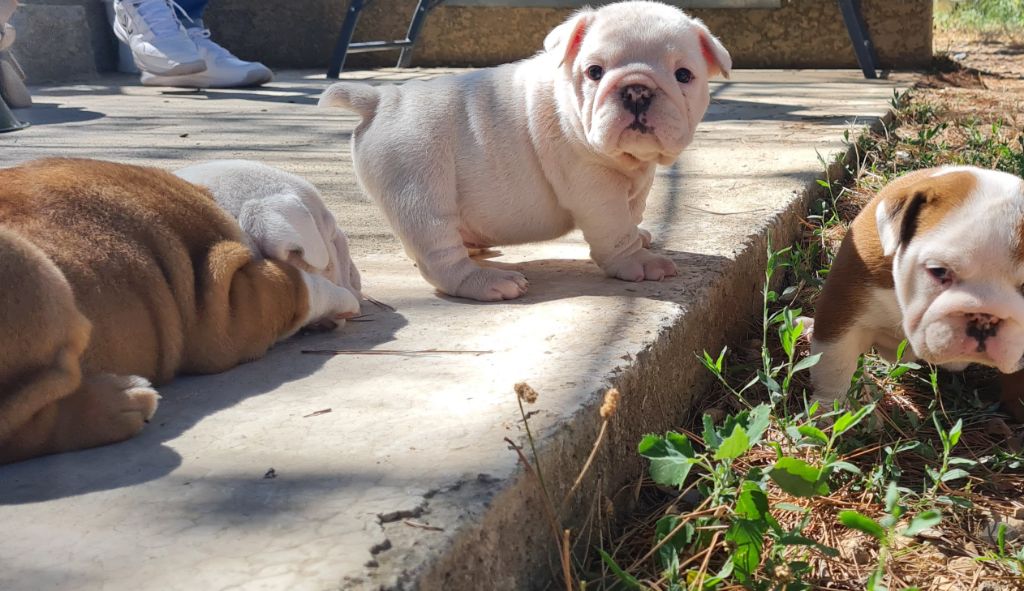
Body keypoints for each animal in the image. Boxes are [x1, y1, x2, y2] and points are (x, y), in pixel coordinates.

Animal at [0, 158, 360, 463]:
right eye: (332, 236)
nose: (356, 276)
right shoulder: (229, 309)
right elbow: (302, 286)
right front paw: (343, 300)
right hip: (33, 270)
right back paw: (120, 404)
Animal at [318, 0, 730, 301]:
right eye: (594, 72)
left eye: (683, 76)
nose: (637, 90)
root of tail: (379, 100)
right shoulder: (596, 189)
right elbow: (615, 229)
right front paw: (639, 262)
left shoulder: (637, 180)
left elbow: (634, 211)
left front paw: (640, 234)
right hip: (420, 189)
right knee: (439, 255)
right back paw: (486, 282)